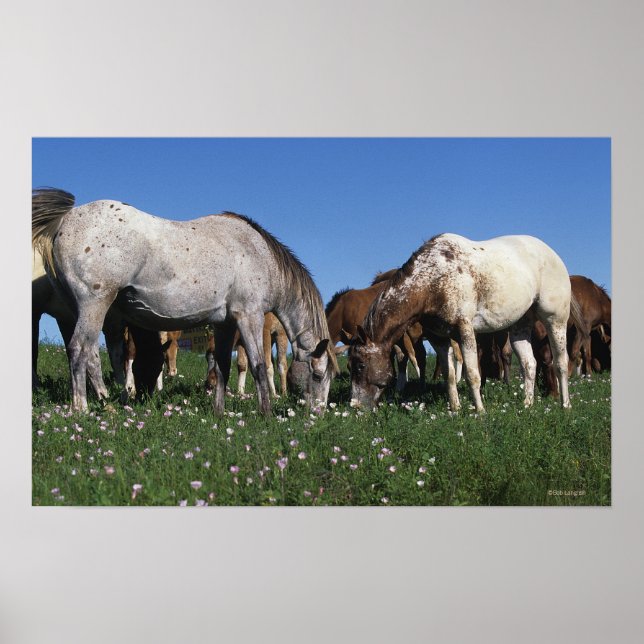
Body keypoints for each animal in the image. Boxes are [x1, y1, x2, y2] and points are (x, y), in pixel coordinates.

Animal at [32, 188, 337, 414]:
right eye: (318, 375)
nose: (318, 413)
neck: (259, 255)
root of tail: (63, 222)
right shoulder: (249, 316)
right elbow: (259, 366)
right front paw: (266, 413)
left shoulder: (225, 324)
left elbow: (222, 367)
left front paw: (218, 412)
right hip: (95, 304)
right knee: (79, 350)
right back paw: (82, 408)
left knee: (91, 355)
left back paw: (107, 402)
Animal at [347, 233, 572, 412]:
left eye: (360, 365)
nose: (355, 406)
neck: (432, 280)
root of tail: (553, 254)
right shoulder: (439, 338)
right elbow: (450, 375)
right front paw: (455, 409)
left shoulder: (465, 330)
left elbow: (472, 374)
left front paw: (480, 412)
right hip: (519, 327)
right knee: (529, 364)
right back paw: (527, 405)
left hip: (555, 321)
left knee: (561, 363)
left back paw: (565, 405)